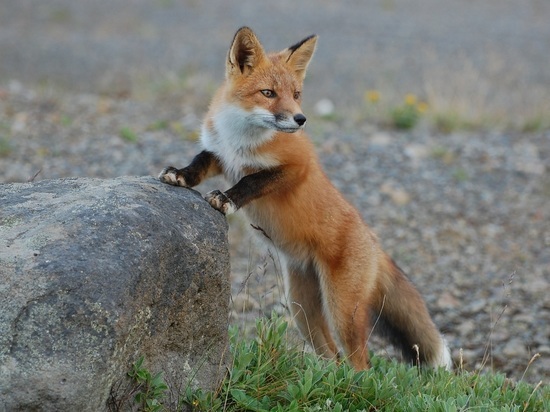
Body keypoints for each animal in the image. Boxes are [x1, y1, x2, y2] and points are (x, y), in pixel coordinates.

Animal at [158, 28, 452, 370]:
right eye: (268, 93)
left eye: (296, 94)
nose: (301, 119)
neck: (240, 140)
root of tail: (374, 242)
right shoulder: (221, 155)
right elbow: (199, 162)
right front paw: (180, 176)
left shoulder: (297, 166)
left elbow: (251, 180)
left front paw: (227, 199)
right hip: (302, 309)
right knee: (333, 356)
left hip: (342, 311)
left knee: (359, 362)